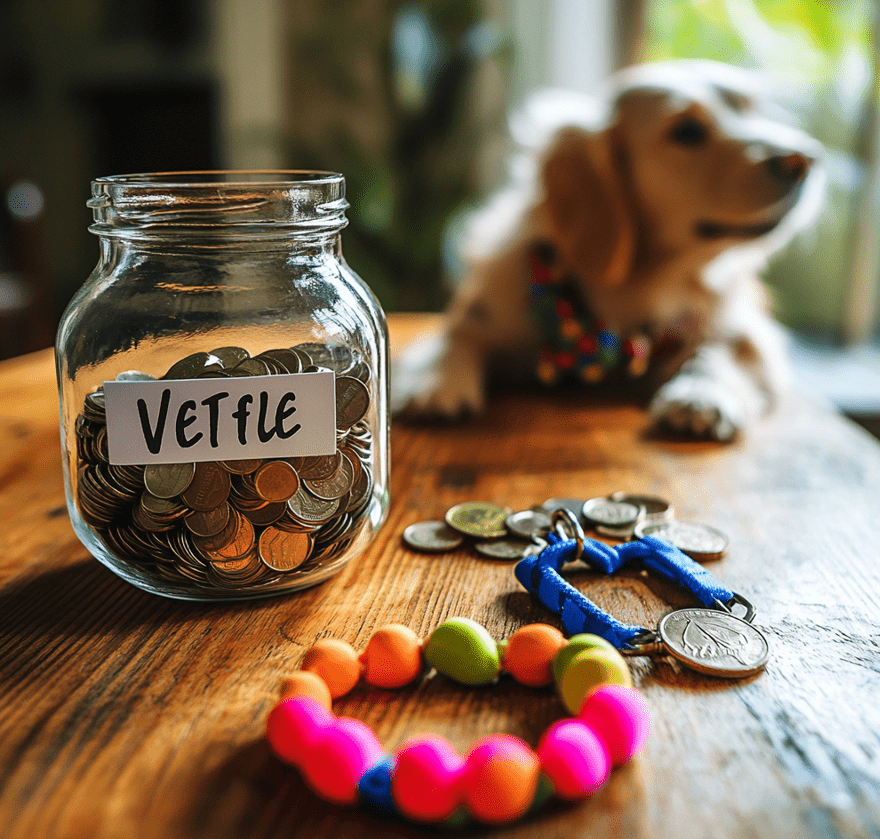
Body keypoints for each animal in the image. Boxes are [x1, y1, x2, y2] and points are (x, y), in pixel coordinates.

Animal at [396, 60, 828, 442]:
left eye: (755, 110)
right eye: (687, 131)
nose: (807, 158)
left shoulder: (748, 330)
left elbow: (719, 350)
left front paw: (702, 393)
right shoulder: (483, 309)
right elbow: (453, 337)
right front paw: (434, 381)